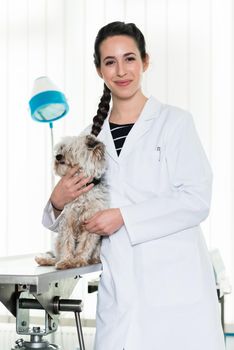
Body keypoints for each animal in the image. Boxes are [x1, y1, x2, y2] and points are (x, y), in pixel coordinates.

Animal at [35, 135, 108, 270]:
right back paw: (45, 260)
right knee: (56, 255)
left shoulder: (91, 225)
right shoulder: (67, 222)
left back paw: (94, 259)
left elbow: (84, 246)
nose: (58, 156)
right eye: (61, 148)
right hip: (57, 240)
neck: (81, 194)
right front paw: (67, 261)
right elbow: (67, 243)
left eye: (72, 149)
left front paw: (78, 260)